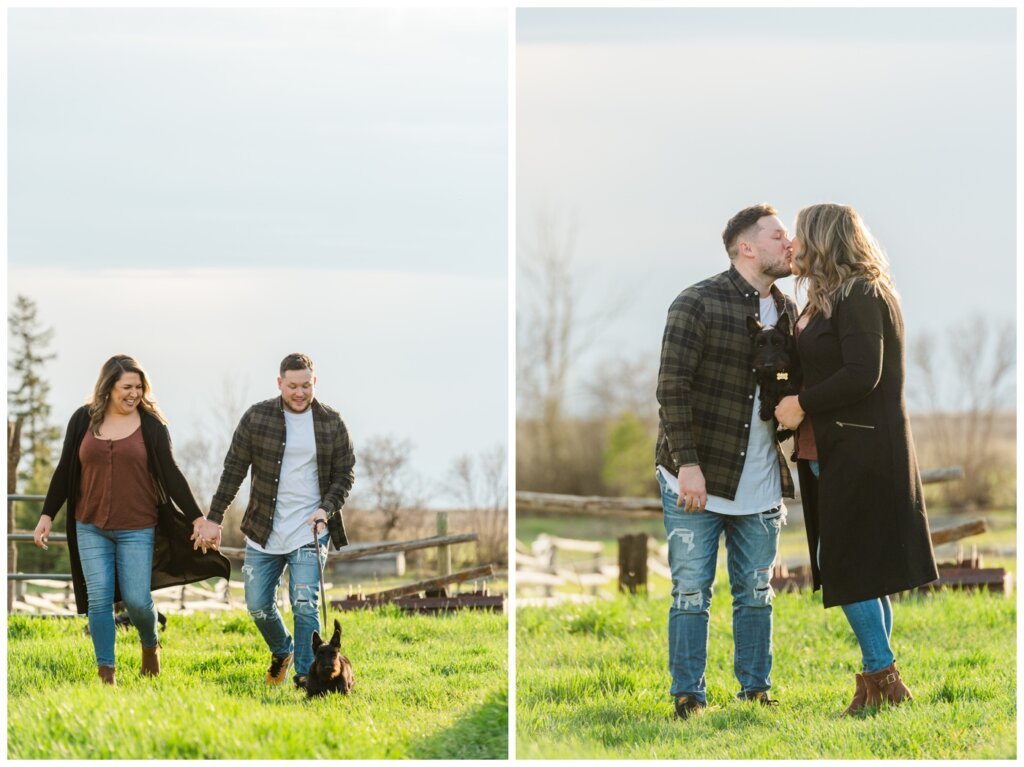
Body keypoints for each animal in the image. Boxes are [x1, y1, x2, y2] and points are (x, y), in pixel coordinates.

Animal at [745, 313, 798, 442]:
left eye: (778, 344)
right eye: (760, 345)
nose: (768, 365)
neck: (775, 374)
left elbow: (790, 385)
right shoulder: (764, 376)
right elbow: (768, 390)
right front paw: (765, 412)